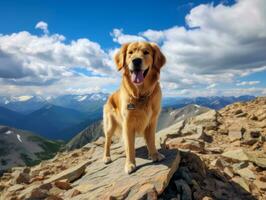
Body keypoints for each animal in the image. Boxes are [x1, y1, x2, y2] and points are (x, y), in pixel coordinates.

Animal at [103, 41, 165, 173]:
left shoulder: (152, 121)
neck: (141, 95)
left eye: (146, 52)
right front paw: (130, 164)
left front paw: (154, 154)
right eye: (130, 53)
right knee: (107, 141)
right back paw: (106, 157)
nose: (136, 61)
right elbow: (129, 146)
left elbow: (151, 140)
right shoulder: (128, 124)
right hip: (110, 124)